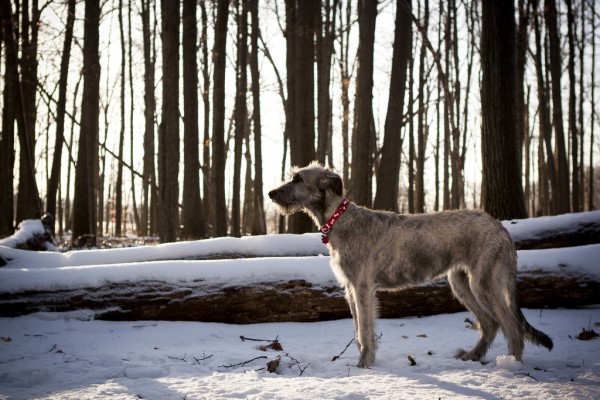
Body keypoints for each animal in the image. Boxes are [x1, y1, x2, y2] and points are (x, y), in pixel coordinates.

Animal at [270, 162, 552, 368]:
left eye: (298, 179)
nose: (271, 193)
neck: (339, 219)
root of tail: (500, 227)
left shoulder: (362, 287)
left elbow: (364, 330)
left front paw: (364, 366)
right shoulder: (350, 289)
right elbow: (358, 330)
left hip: (484, 282)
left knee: (512, 326)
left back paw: (512, 365)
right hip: (461, 283)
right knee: (490, 323)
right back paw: (472, 356)